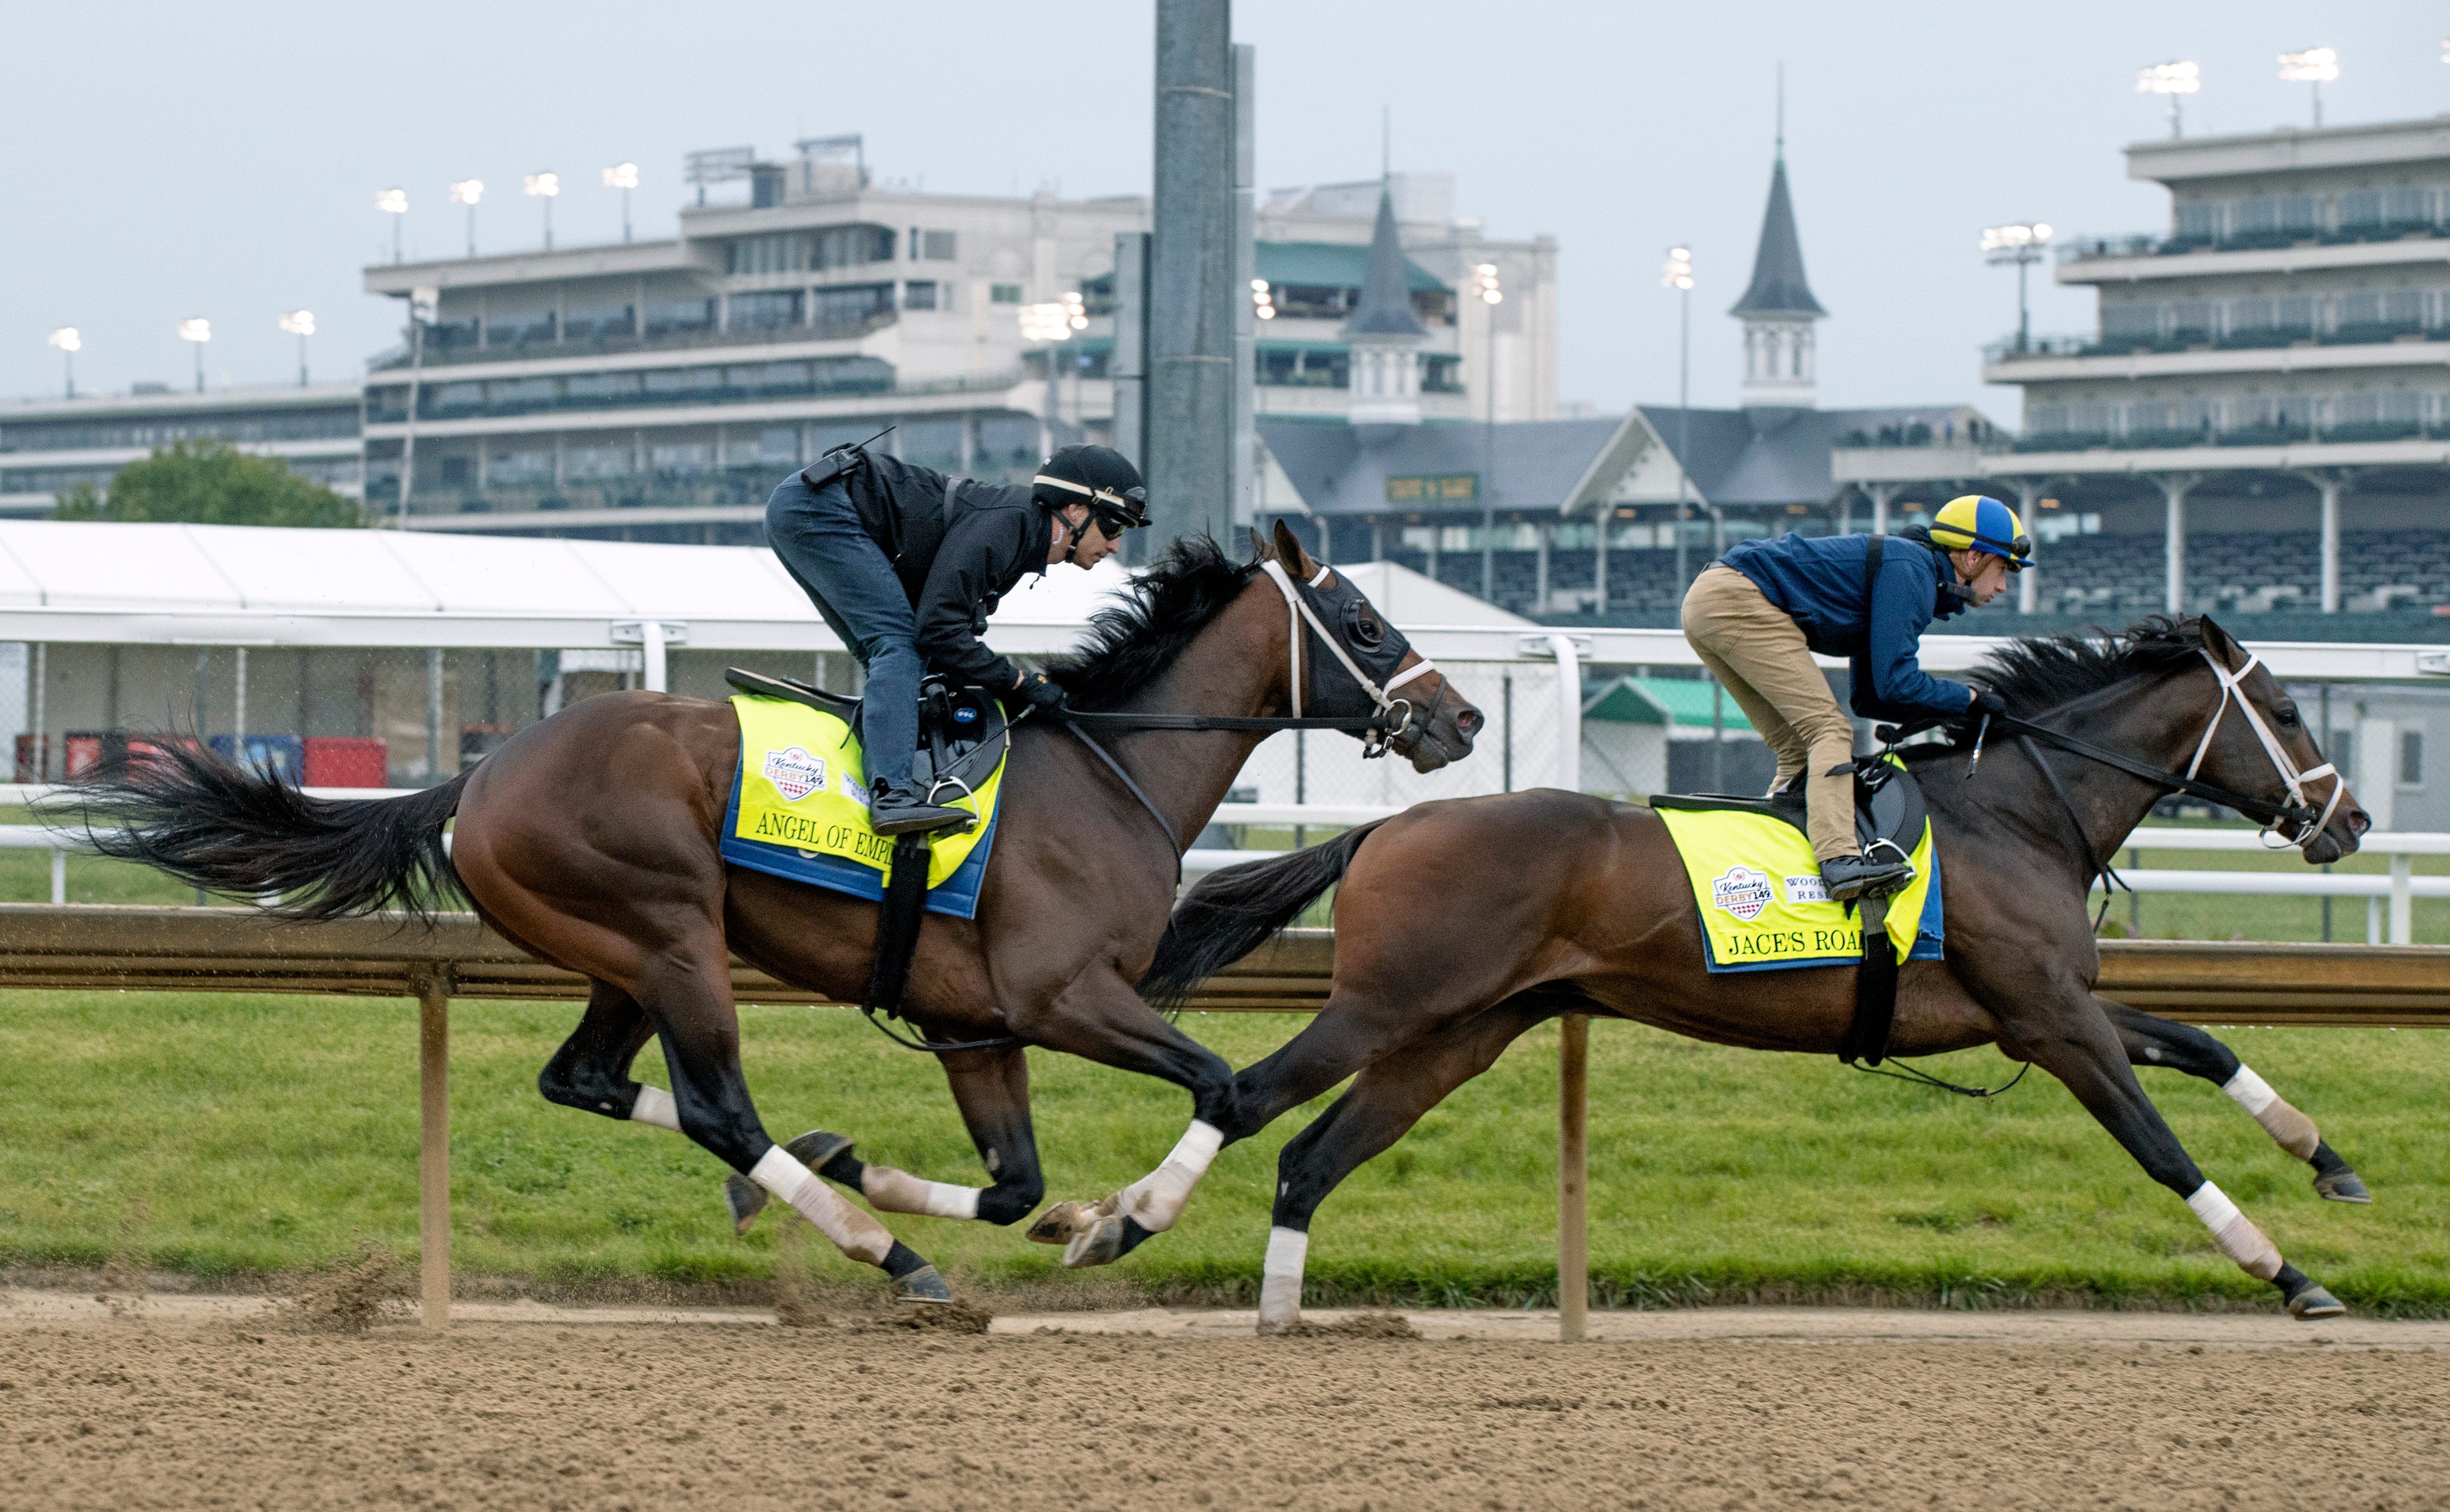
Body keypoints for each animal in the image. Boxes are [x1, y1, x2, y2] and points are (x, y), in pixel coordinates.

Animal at [76, 522, 1479, 1293]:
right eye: (1362, 618)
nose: (1460, 719)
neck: (1105, 769)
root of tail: (479, 773)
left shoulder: (973, 1025)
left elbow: (1014, 1183)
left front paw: (911, 1174)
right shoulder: (1062, 996)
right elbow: (1225, 1087)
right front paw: (1120, 1223)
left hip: (619, 954)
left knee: (588, 1081)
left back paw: (817, 1184)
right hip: (671, 935)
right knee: (715, 1107)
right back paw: (880, 1251)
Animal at [1141, 610, 2371, 1323]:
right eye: (2284, 708)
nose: (2350, 819)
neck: (2022, 813)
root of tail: (1382, 828)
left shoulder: (2043, 1007)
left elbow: (2201, 1043)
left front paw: (2325, 1158)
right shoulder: (2050, 1019)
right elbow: (2159, 1145)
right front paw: (2287, 1271)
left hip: (1462, 1032)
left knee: (1310, 1153)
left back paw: (1273, 1303)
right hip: (1384, 1006)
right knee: (1245, 1096)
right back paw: (1124, 1217)